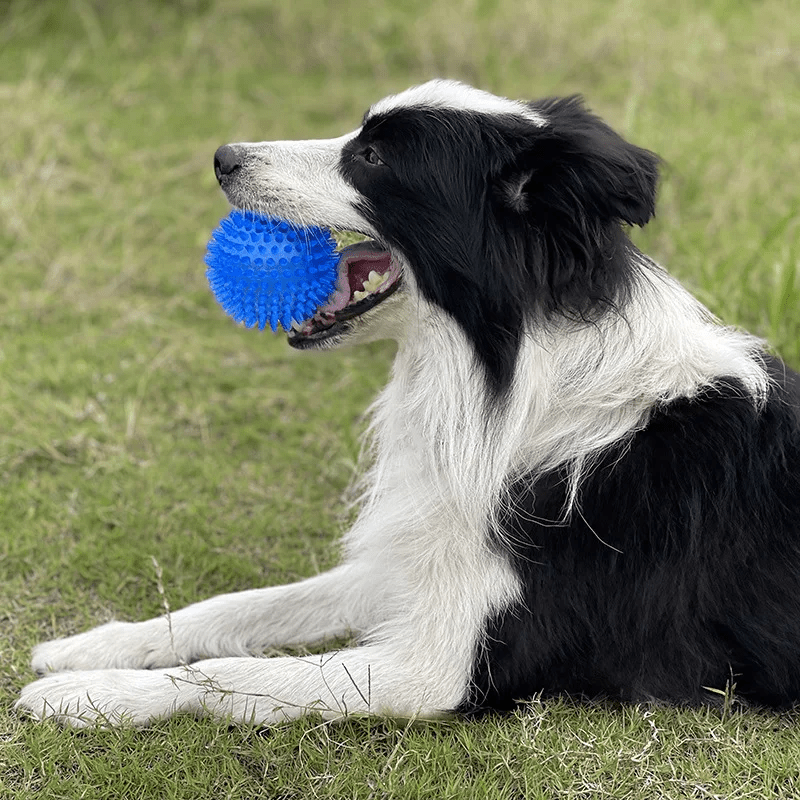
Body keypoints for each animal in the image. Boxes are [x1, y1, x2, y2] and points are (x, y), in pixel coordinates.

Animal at [17, 79, 800, 724]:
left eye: (370, 157)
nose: (223, 156)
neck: (514, 382)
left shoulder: (441, 665)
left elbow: (235, 675)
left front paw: (89, 696)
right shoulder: (419, 558)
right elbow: (243, 605)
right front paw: (95, 647)